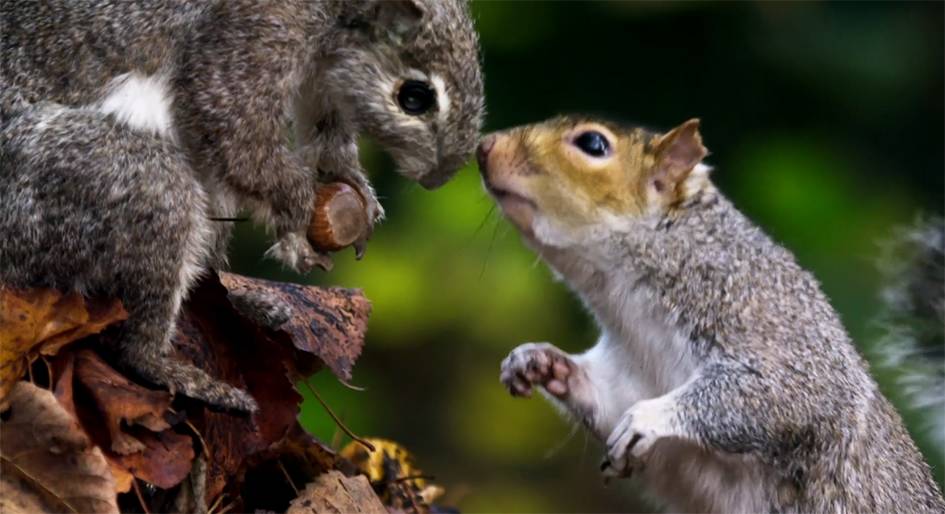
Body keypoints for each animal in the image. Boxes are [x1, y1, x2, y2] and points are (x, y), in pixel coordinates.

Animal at [0, 0, 484, 408]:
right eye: (414, 97)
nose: (439, 178)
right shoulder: (252, 29)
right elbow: (236, 128)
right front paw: (297, 215)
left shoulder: (323, 79)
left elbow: (328, 137)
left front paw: (354, 187)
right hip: (133, 187)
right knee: (134, 345)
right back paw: (182, 374)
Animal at [480, 117, 944, 512]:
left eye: (593, 144)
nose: (485, 146)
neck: (629, 305)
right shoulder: (628, 374)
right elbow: (607, 397)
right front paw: (539, 361)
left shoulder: (771, 322)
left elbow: (785, 396)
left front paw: (649, 418)